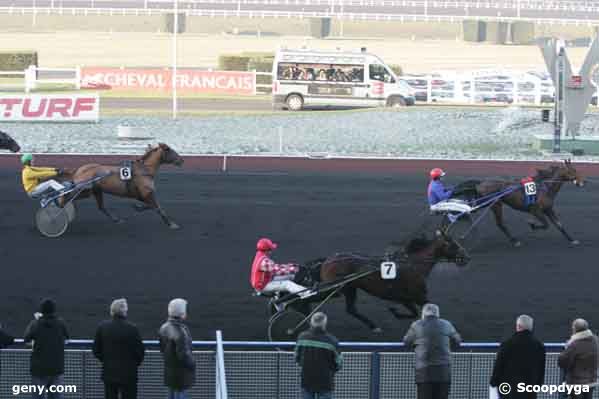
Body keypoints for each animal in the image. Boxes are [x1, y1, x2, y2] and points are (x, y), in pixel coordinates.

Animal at [298, 230, 472, 332]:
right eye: (453, 244)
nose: (466, 258)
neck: (414, 264)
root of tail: (328, 260)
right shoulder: (418, 296)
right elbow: (422, 309)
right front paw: (395, 312)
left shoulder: (405, 298)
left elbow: (414, 312)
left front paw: (395, 312)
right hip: (336, 287)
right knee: (311, 296)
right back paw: (301, 309)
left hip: (349, 288)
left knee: (351, 309)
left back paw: (373, 326)